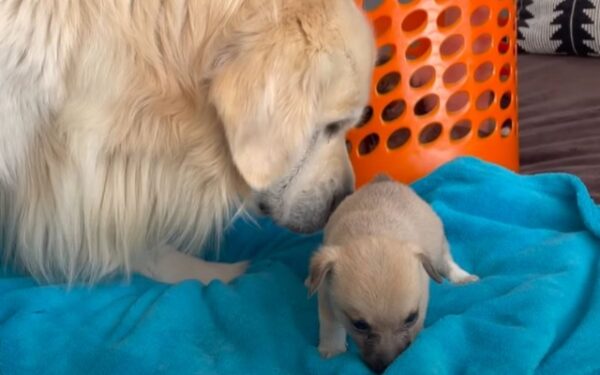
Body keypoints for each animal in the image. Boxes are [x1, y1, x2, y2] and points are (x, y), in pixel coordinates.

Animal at [308, 176, 476, 374]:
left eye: (411, 318)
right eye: (359, 325)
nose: (388, 366)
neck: (374, 231)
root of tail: (383, 180)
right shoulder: (326, 294)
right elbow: (331, 324)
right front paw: (332, 349)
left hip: (438, 246)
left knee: (446, 262)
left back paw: (462, 277)